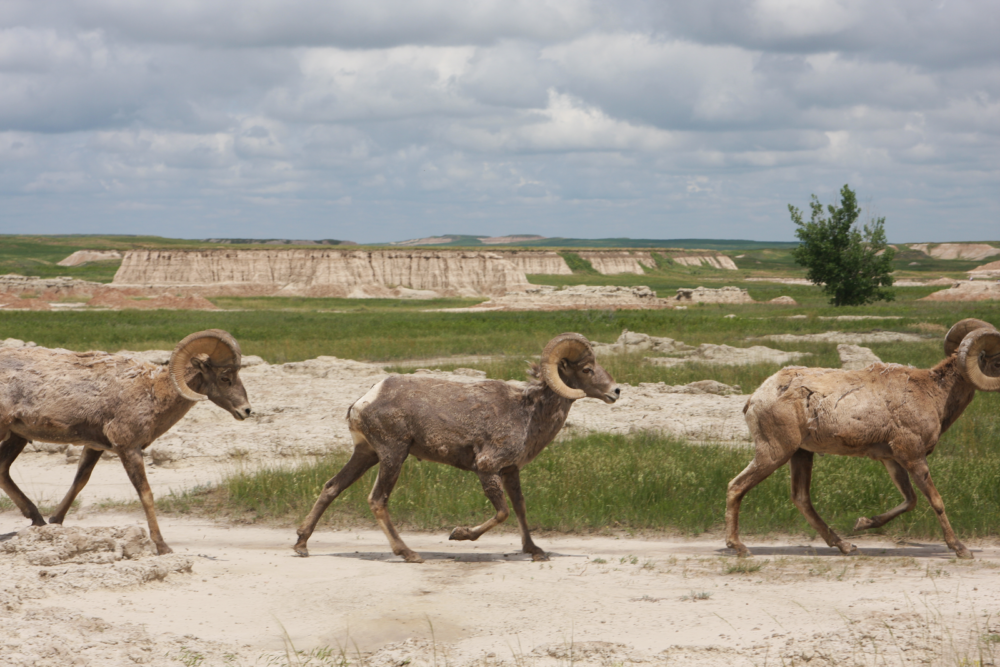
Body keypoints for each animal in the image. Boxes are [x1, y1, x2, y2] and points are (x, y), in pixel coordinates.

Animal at [0, 329, 251, 554]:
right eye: (225, 377)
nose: (246, 411)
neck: (154, 392)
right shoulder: (129, 449)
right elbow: (146, 494)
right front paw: (162, 547)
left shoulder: (94, 447)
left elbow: (80, 481)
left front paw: (54, 522)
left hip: (17, 437)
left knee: (3, 471)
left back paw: (38, 519)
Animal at [293, 332, 620, 563]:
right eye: (587, 369)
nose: (616, 391)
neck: (528, 414)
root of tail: (364, 401)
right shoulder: (487, 468)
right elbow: (502, 512)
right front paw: (459, 534)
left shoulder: (510, 471)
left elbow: (520, 507)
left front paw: (535, 550)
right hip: (392, 456)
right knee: (377, 500)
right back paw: (409, 554)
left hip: (367, 455)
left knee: (332, 487)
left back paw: (301, 545)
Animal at [726, 318, 1000, 559]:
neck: (934, 394)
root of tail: (755, 398)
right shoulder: (912, 456)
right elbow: (936, 500)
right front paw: (961, 549)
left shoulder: (893, 460)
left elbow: (910, 500)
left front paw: (863, 522)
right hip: (775, 453)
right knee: (736, 487)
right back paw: (739, 548)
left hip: (801, 454)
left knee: (801, 498)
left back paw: (846, 546)